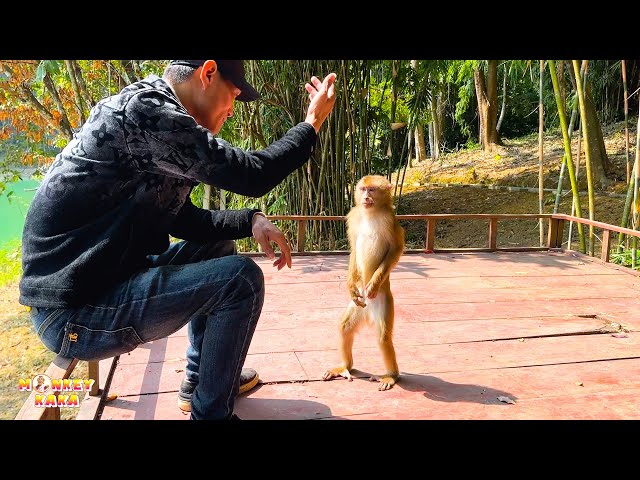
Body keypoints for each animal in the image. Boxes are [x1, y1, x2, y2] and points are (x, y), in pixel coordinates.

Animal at [320, 175, 404, 390]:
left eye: (372, 189)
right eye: (363, 189)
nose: (366, 197)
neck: (370, 213)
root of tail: (367, 312)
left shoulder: (390, 219)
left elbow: (395, 249)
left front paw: (373, 284)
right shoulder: (354, 216)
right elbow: (353, 247)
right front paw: (350, 285)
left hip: (383, 302)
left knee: (383, 337)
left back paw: (392, 375)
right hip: (358, 305)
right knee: (345, 326)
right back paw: (345, 366)